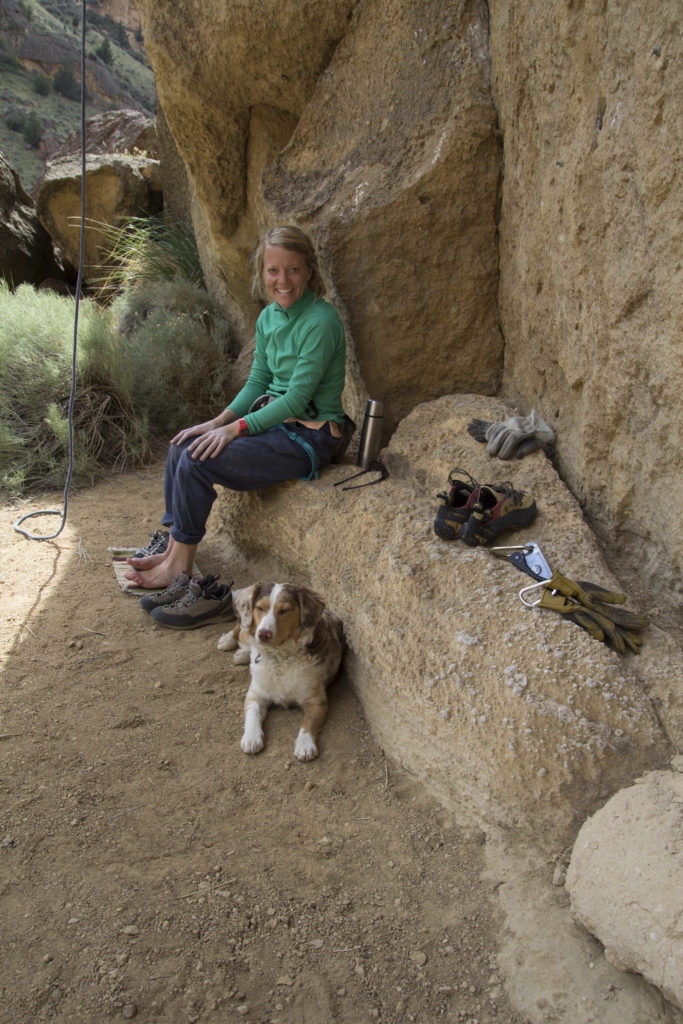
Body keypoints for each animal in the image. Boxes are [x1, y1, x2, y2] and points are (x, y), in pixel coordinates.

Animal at [218, 585, 344, 761]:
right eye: (260, 608)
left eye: (284, 610)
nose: (263, 634)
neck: (278, 658)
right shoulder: (255, 695)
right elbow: (252, 714)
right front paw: (251, 738)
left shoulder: (317, 701)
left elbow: (308, 723)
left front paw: (305, 745)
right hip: (246, 631)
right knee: (241, 629)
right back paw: (228, 641)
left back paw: (241, 654)